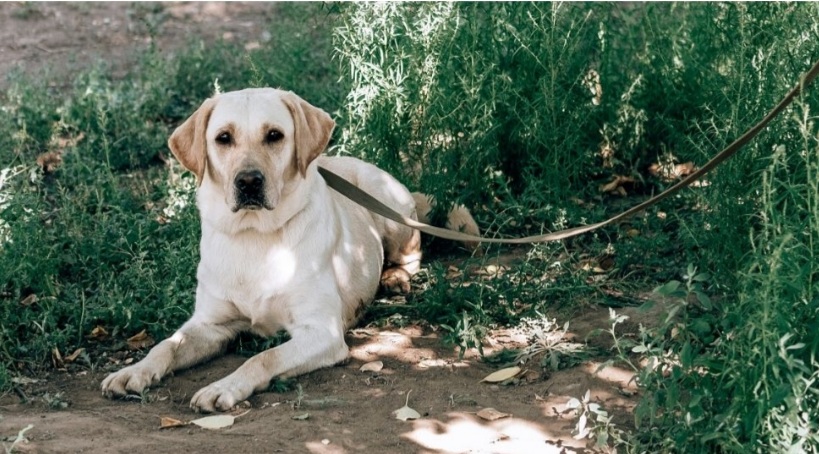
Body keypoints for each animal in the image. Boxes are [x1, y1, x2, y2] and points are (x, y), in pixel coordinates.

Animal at [101, 86, 480, 412]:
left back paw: (395, 278)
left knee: (412, 253)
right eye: (223, 138)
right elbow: (166, 344)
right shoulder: (210, 323)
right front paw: (134, 371)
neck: (255, 236)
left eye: (274, 135)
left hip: (387, 207)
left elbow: (262, 357)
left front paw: (223, 387)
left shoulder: (321, 332)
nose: (249, 181)